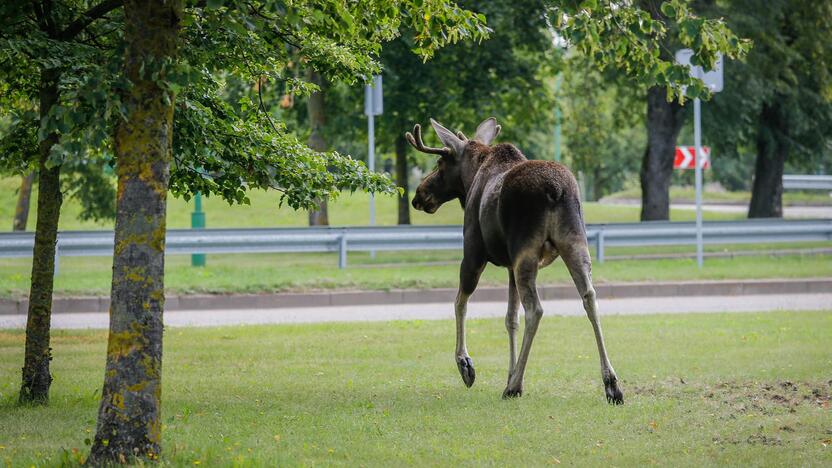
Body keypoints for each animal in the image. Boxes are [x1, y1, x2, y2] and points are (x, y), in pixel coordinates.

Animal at [406, 116, 620, 402]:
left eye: (440, 164)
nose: (418, 195)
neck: (472, 174)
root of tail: (555, 190)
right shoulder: (509, 266)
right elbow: (510, 319)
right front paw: (510, 371)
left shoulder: (473, 252)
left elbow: (460, 302)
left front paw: (466, 364)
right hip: (575, 243)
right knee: (590, 298)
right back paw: (611, 384)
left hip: (525, 251)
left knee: (535, 309)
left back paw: (514, 386)